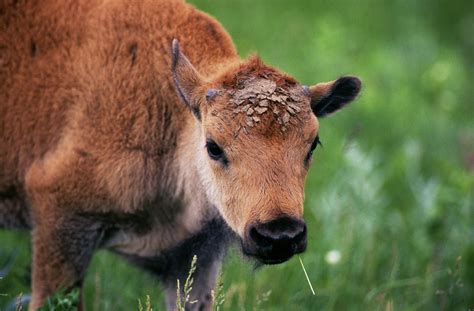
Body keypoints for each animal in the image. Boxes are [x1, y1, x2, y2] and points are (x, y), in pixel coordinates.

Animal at [0, 1, 360, 310]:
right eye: (213, 146)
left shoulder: (193, 258)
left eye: (313, 143)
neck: (170, 118)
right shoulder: (60, 220)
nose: (280, 235)